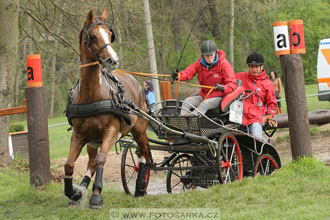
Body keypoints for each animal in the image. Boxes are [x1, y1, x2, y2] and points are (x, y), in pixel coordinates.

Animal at [64, 9, 150, 210]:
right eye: (93, 36)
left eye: (110, 35)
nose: (113, 60)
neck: (92, 93)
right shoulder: (79, 135)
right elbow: (70, 164)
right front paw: (74, 192)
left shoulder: (110, 131)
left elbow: (102, 159)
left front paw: (96, 196)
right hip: (92, 141)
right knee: (90, 163)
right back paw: (82, 189)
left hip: (139, 130)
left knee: (144, 153)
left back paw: (140, 186)